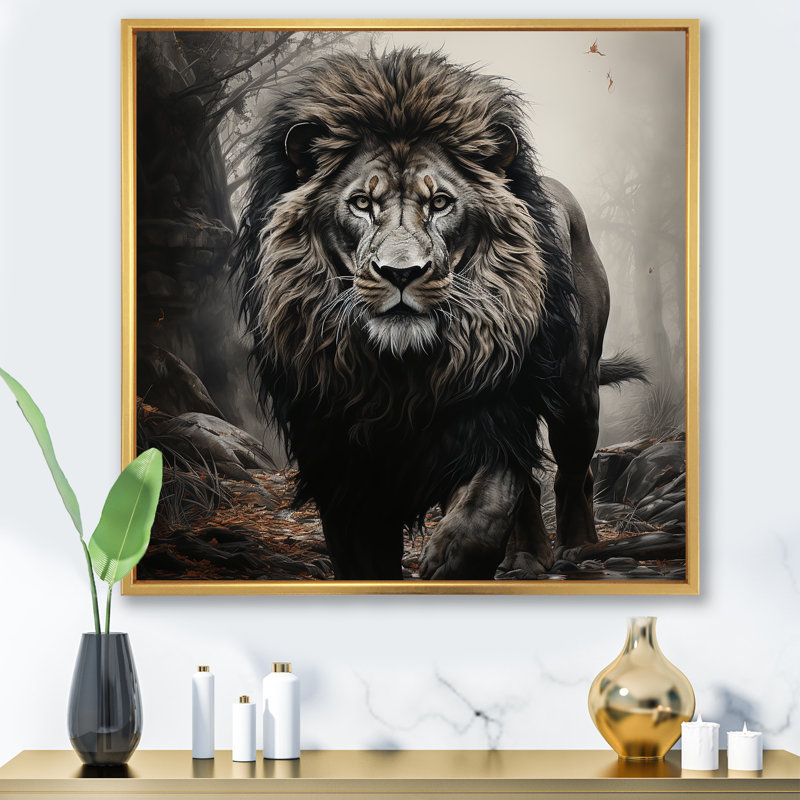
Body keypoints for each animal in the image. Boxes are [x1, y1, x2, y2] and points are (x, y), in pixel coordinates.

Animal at [232, 49, 643, 580]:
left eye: (441, 203)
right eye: (361, 203)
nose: (401, 273)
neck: (400, 374)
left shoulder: (492, 411)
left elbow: (484, 514)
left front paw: (446, 564)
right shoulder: (339, 463)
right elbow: (364, 560)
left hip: (576, 389)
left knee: (575, 471)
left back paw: (578, 549)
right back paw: (528, 559)